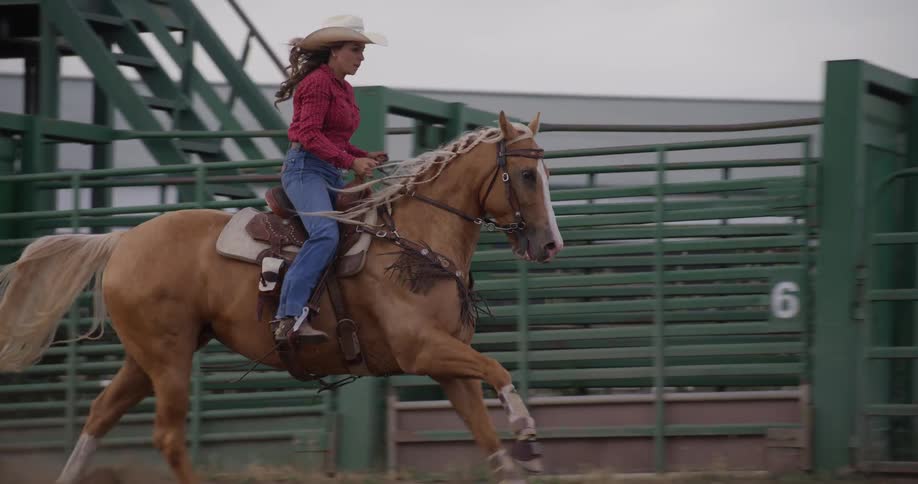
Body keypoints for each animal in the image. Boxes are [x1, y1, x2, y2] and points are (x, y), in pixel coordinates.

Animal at [0, 111, 563, 484]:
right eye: (527, 175)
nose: (550, 244)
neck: (413, 238)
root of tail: (122, 241)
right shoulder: (421, 349)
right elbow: (498, 369)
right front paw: (529, 435)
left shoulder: (447, 364)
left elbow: (486, 431)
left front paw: (518, 448)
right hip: (168, 359)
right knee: (167, 436)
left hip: (147, 358)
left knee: (100, 415)